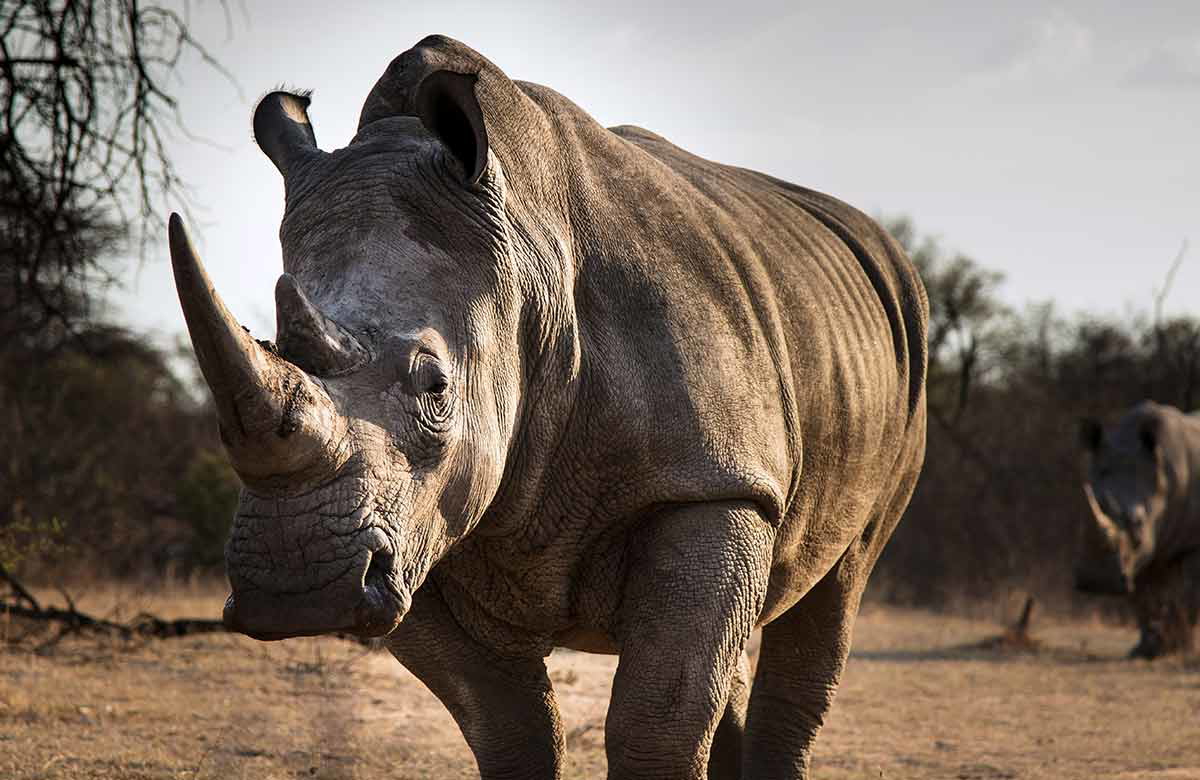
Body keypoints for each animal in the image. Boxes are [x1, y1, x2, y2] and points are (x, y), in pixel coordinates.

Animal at [171, 35, 927, 779]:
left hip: (898, 365)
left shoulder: (713, 483)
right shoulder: (419, 531)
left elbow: (657, 724)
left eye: (435, 387)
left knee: (836, 590)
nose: (296, 587)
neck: (526, 260)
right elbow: (511, 727)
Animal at [1077, 400, 1200, 658]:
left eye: (1138, 522)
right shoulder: (1137, 557)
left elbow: (1191, 593)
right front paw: (1147, 649)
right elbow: (1143, 598)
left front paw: (1180, 650)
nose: (1095, 581)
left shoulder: (1193, 541)